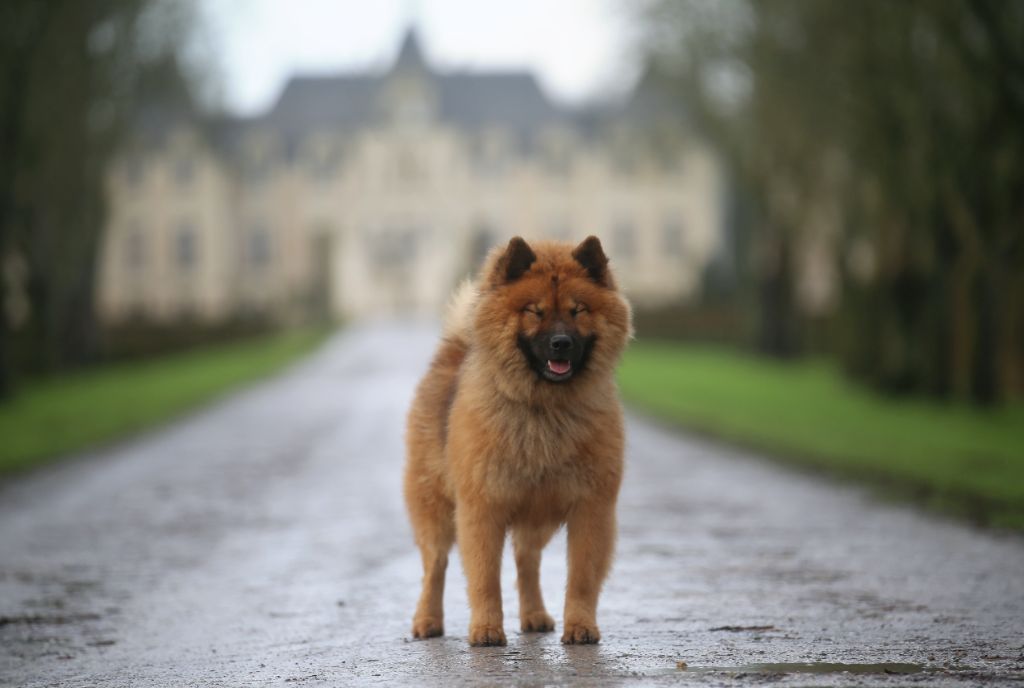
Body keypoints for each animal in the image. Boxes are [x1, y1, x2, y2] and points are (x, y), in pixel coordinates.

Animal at [401, 235, 626, 647]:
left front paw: (580, 626)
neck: (543, 409)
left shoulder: (591, 508)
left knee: (526, 561)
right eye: (535, 312)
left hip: (538, 516)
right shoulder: (481, 508)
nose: (561, 343)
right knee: (435, 565)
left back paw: (534, 615)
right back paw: (427, 621)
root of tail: (453, 352)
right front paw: (487, 629)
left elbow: (582, 577)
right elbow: (484, 577)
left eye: (578, 310)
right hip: (435, 507)